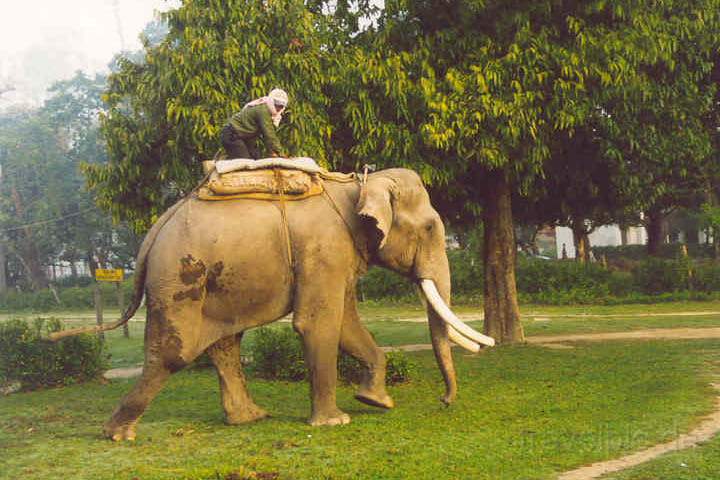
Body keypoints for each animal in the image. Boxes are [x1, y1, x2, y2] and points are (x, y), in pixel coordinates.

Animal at [56, 167, 496, 440]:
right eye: (430, 228)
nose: (445, 402)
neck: (359, 183)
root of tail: (154, 232)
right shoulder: (324, 249)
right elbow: (318, 322)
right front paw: (335, 422)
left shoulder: (336, 256)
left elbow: (346, 323)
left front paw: (377, 401)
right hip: (179, 277)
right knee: (175, 353)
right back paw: (118, 434)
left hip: (220, 281)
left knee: (224, 343)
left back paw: (250, 418)